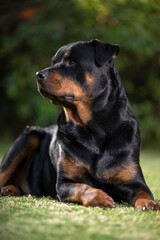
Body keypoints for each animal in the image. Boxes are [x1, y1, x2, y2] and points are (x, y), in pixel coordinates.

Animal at [0, 39, 160, 210]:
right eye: (54, 62)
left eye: (71, 62)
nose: (38, 75)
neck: (94, 130)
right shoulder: (64, 183)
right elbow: (83, 187)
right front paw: (101, 197)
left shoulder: (134, 181)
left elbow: (143, 192)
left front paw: (150, 203)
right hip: (28, 137)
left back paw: (10, 189)